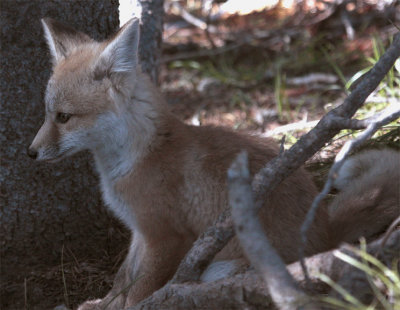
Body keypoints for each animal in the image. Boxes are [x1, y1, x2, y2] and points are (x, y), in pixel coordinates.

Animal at [27, 18, 396, 308]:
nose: (30, 152)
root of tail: (326, 232)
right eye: (47, 114)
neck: (137, 156)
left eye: (63, 117)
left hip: (223, 269)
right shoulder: (139, 231)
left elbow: (138, 293)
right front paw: (101, 304)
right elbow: (121, 281)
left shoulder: (165, 236)